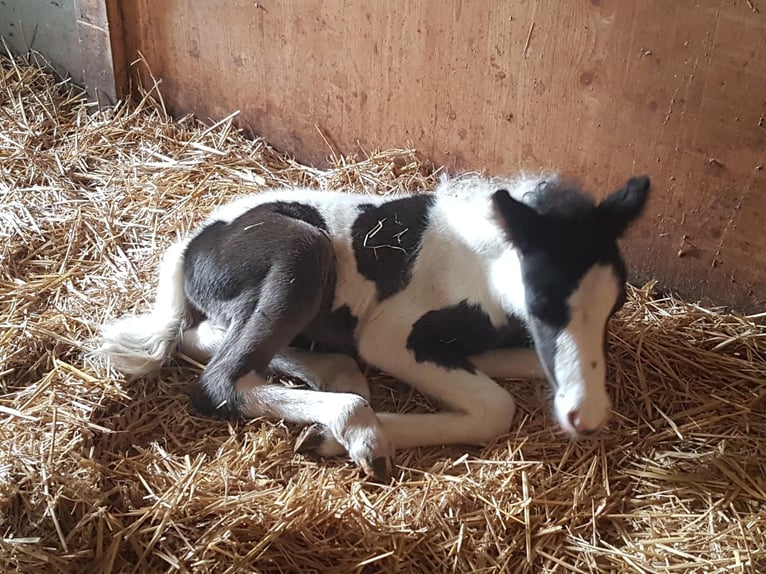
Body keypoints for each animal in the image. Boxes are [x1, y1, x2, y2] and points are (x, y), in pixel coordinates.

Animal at [97, 173, 656, 480]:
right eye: (542, 304)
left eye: (617, 303)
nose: (586, 415)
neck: (481, 269)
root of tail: (188, 245)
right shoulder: (389, 336)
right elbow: (496, 407)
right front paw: (338, 441)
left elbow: (523, 365)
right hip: (302, 251)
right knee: (219, 378)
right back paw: (355, 424)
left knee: (203, 335)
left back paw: (335, 373)